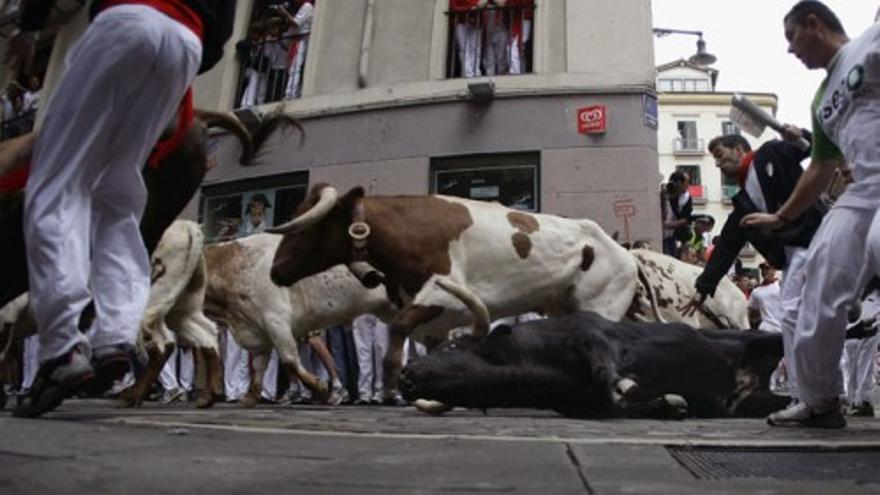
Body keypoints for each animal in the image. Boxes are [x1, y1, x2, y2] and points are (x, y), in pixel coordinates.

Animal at [268, 184, 748, 402]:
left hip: (602, 305)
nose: (274, 270)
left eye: (304, 226)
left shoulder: (444, 296)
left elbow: (397, 334)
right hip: (600, 307)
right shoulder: (436, 318)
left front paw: (391, 387)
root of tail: (625, 253)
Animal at [398, 314, 792, 418]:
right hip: (749, 402)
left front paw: (625, 386)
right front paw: (671, 404)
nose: (406, 373)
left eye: (451, 346)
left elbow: (606, 365)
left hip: (762, 338)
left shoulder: (594, 333)